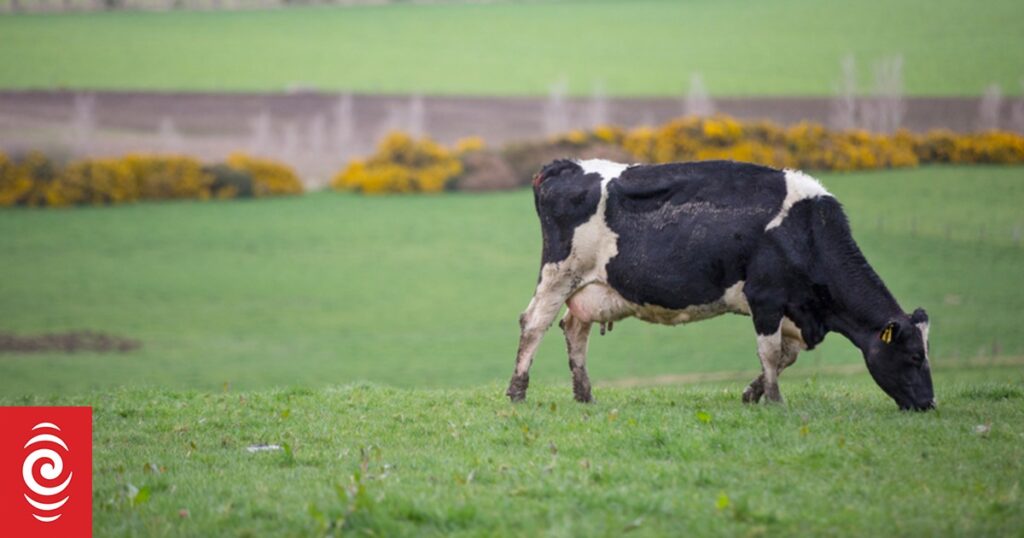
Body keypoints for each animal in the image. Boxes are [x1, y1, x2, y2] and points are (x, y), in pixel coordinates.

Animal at [505, 157, 937, 409]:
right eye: (915, 356)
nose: (929, 404)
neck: (806, 232)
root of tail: (566, 165)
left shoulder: (795, 312)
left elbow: (785, 356)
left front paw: (752, 393)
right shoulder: (766, 297)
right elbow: (770, 353)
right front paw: (775, 401)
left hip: (588, 286)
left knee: (574, 328)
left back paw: (584, 394)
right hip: (560, 272)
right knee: (534, 323)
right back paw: (517, 391)